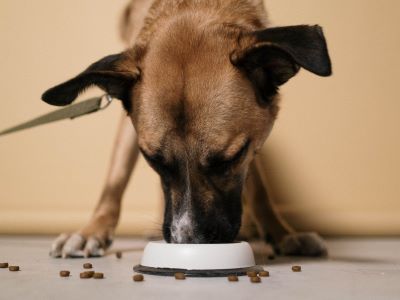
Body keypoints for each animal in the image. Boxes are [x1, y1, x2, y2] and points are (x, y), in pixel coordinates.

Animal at [42, 0, 332, 258]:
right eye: (153, 160)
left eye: (230, 159)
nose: (188, 242)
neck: (194, 6)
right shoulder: (129, 123)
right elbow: (115, 178)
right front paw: (92, 231)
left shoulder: (252, 141)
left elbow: (259, 188)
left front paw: (282, 233)